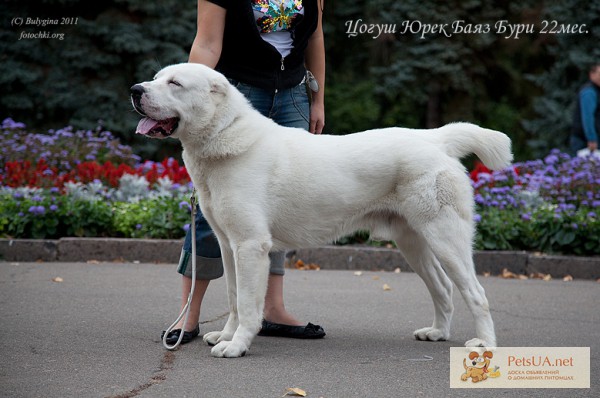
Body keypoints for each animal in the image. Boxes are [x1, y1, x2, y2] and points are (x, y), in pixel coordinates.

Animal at [130, 64, 510, 358]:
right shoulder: (228, 245)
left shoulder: (251, 246)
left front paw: (236, 346)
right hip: (413, 242)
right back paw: (437, 332)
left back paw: (485, 345)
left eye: (175, 83)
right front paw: (225, 335)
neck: (224, 135)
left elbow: (249, 304)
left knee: (477, 294)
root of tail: (435, 139)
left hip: (446, 238)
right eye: (156, 78)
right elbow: (234, 298)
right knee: (443, 288)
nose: (135, 90)